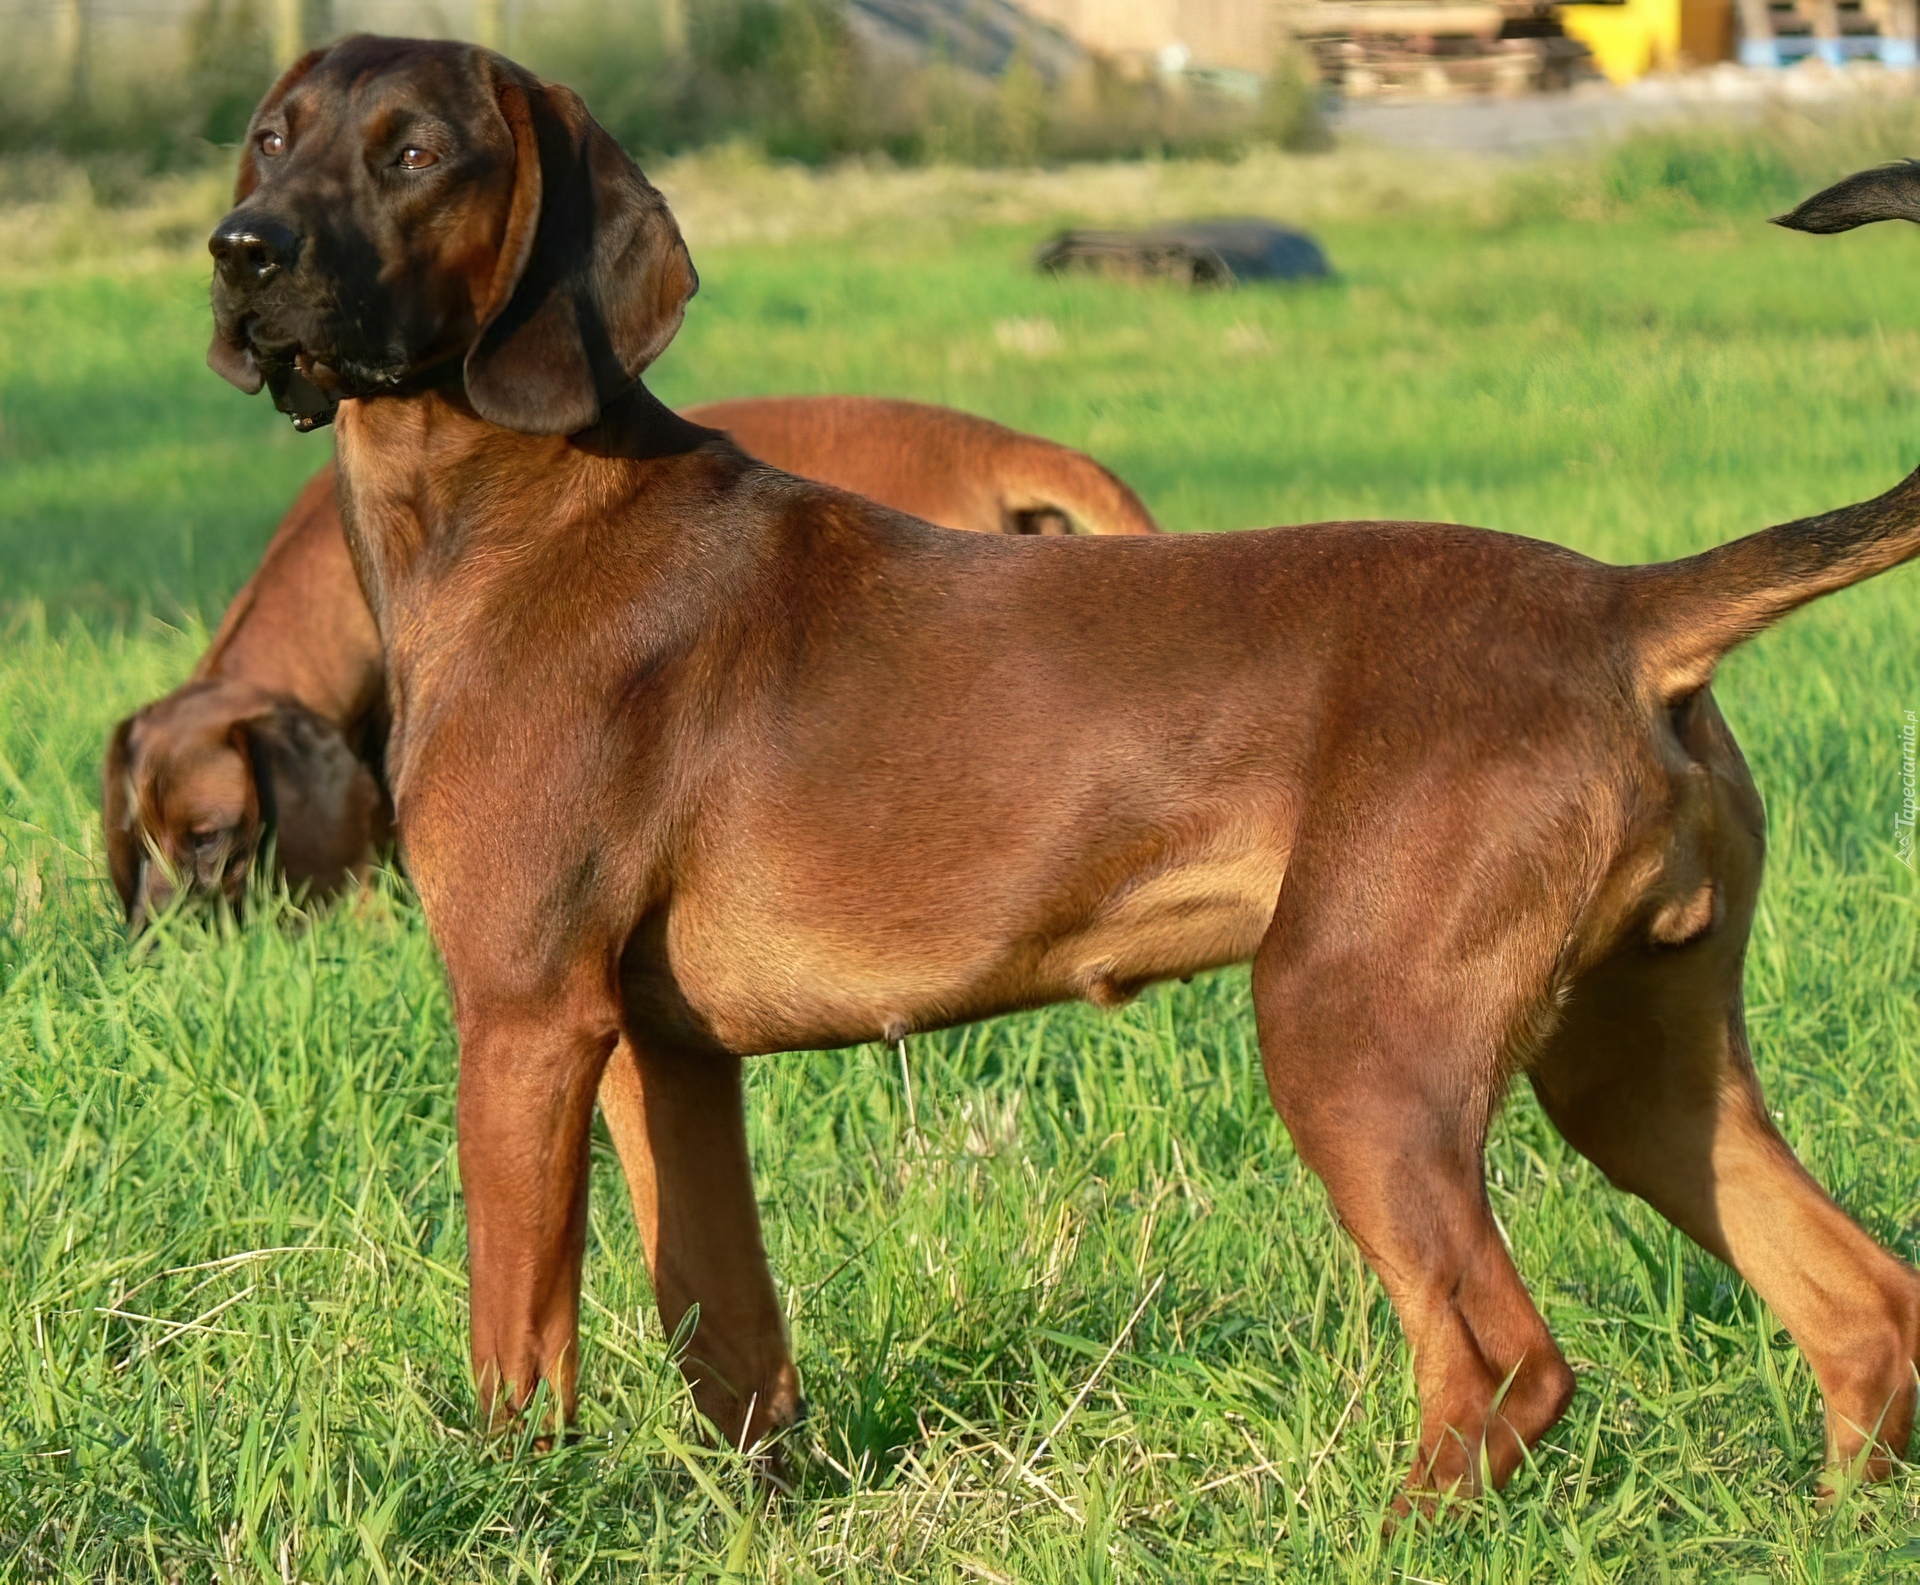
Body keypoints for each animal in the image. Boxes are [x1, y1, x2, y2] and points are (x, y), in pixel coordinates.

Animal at [202, 34, 1920, 1496]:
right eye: (269, 141)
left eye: (416, 152)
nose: (241, 254)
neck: (521, 510)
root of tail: (1624, 607)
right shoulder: (663, 1055)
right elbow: (730, 1329)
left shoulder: (522, 1018)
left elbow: (520, 1332)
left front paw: (513, 1505)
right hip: (1632, 1061)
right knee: (1868, 1313)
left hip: (1353, 1030)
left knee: (1507, 1364)